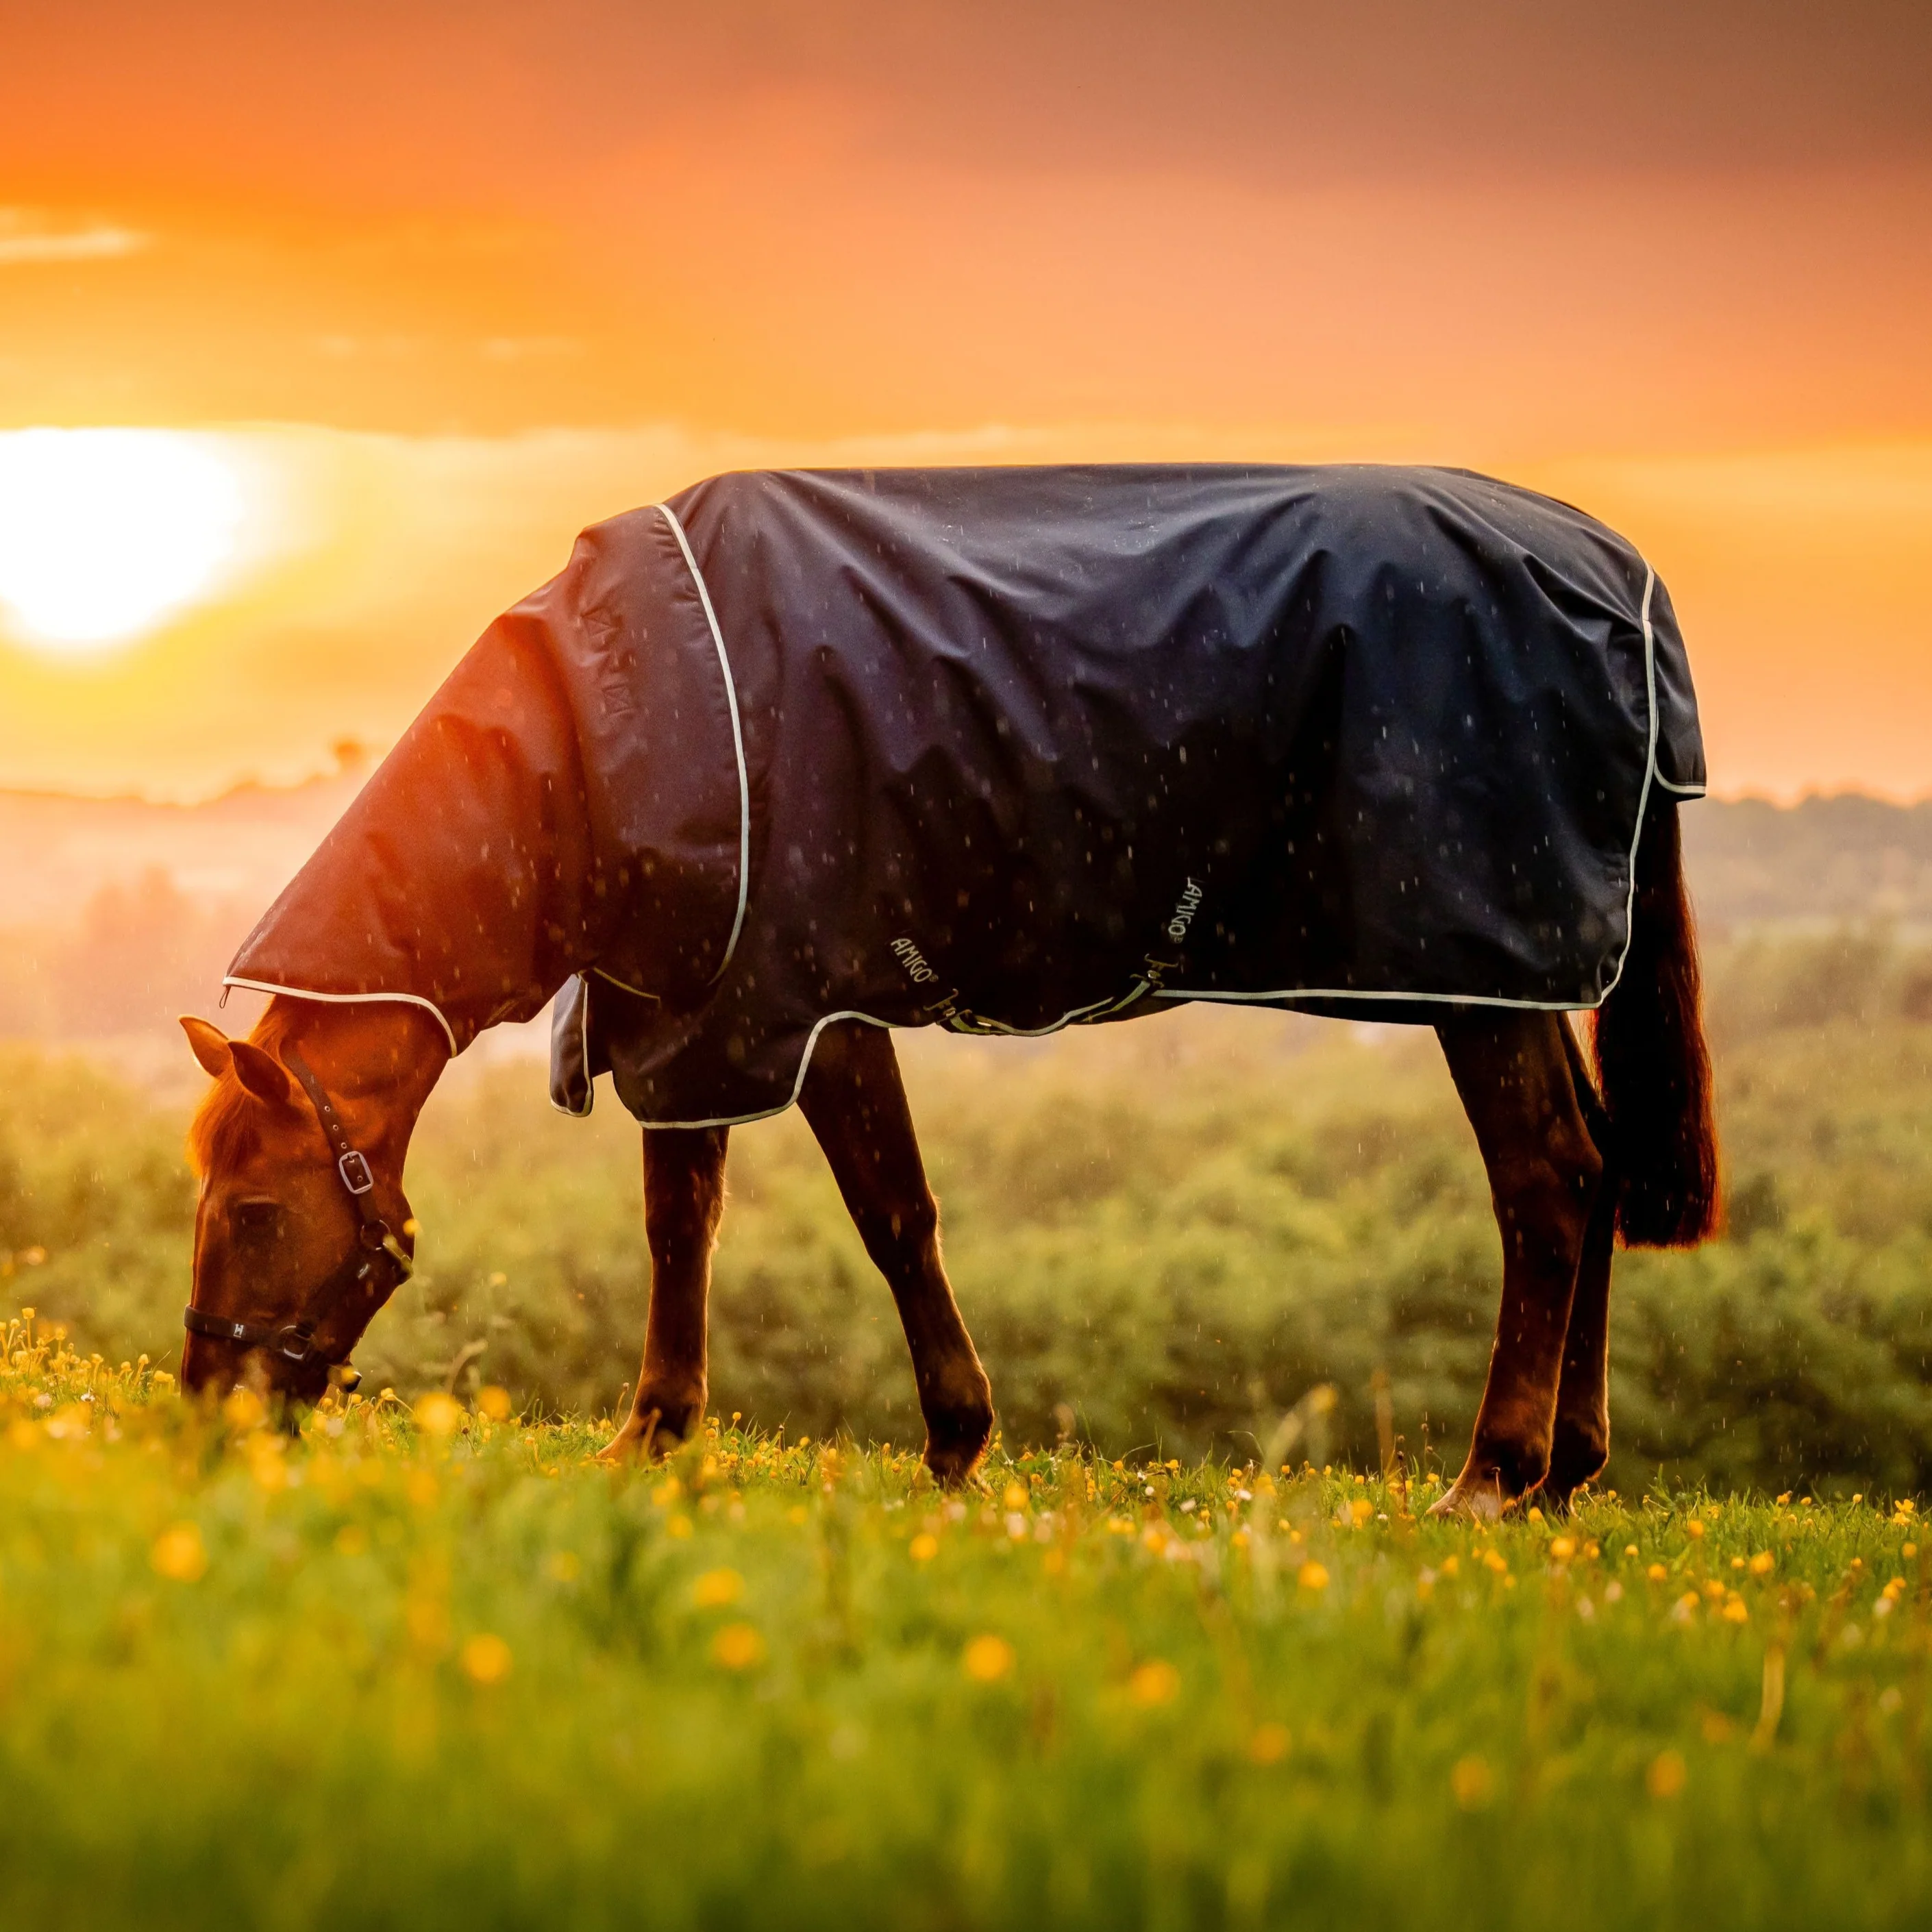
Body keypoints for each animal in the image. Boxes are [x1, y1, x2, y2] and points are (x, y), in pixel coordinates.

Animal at [178, 463, 1720, 1517]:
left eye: (250, 1211)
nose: (206, 1413)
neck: (601, 728)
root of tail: (1620, 576)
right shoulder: (696, 1013)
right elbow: (682, 1226)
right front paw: (654, 1436)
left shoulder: (804, 1001)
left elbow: (893, 1217)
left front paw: (957, 1442)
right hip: (1520, 982)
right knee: (1594, 1163)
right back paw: (1565, 1473)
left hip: (1480, 971)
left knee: (1547, 1179)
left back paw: (1493, 1474)